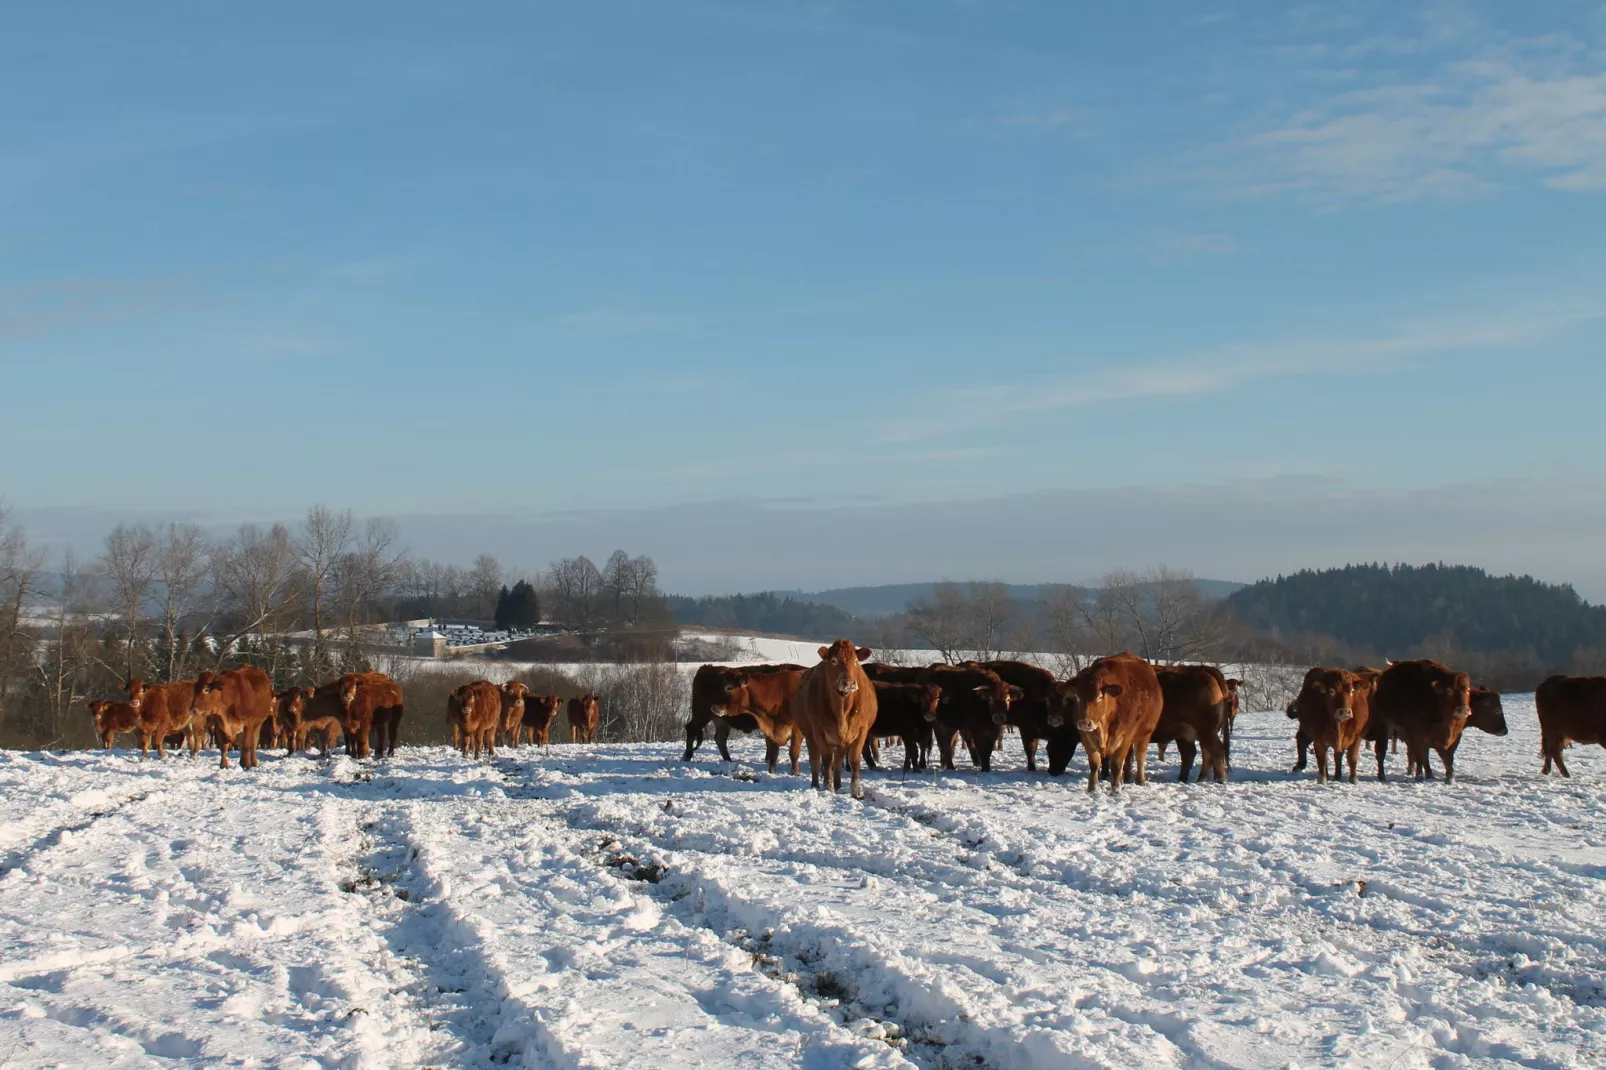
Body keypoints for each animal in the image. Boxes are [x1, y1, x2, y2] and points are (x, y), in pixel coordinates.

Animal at [790, 636, 880, 796]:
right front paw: (828, 786)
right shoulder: (818, 731)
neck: (842, 709)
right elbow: (826, 759)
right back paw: (816, 785)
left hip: (841, 741)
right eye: (833, 661)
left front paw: (856, 790)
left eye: (855, 661)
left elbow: (854, 759)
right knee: (815, 759)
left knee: (838, 760)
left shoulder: (862, 730)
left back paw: (838, 784)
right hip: (809, 734)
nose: (849, 682)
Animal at [1059, 649, 1162, 790]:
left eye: (1099, 697)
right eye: (1077, 697)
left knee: (1140, 756)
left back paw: (1140, 779)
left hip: (1145, 733)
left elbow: (1116, 764)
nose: (1085, 723)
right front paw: (1092, 788)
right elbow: (1094, 763)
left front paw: (1115, 789)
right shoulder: (1086, 736)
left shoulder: (1125, 737)